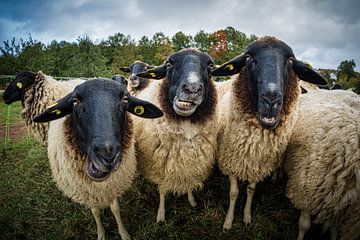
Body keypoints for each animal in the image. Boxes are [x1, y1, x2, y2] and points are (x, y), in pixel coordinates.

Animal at [33, 78, 163, 238]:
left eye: (125, 99)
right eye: (75, 101)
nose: (108, 154)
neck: (99, 186)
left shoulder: (113, 185)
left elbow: (115, 209)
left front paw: (123, 233)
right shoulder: (89, 192)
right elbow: (95, 211)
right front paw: (101, 234)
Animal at [132, 48, 217, 223]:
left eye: (210, 67)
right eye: (168, 64)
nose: (192, 89)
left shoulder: (191, 161)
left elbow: (189, 179)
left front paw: (192, 200)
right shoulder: (160, 165)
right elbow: (163, 190)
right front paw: (161, 215)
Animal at [211, 36, 326, 230]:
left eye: (290, 60)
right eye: (248, 57)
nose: (271, 99)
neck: (253, 143)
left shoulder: (258, 164)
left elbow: (251, 190)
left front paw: (247, 217)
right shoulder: (230, 159)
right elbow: (233, 192)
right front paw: (228, 221)